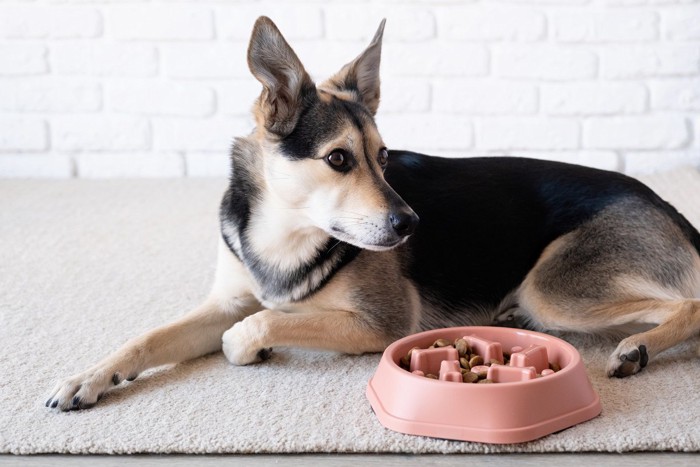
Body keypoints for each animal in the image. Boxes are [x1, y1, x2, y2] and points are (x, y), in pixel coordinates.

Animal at [45, 15, 700, 410]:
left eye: (384, 157)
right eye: (338, 158)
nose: (413, 226)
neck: (285, 232)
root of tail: (664, 204)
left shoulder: (381, 324)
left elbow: (255, 326)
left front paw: (256, 346)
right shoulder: (225, 300)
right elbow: (147, 337)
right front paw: (89, 377)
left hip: (554, 287)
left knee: (690, 303)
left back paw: (636, 349)